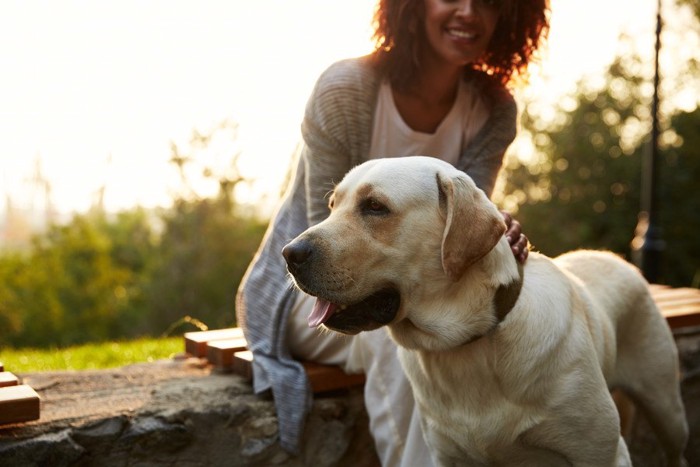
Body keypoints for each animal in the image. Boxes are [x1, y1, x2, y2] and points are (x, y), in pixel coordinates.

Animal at [282, 155, 688, 466]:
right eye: (332, 205)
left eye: (375, 206)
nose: (289, 254)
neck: (468, 345)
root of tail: (618, 258)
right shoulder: (448, 456)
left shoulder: (601, 452)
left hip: (667, 407)